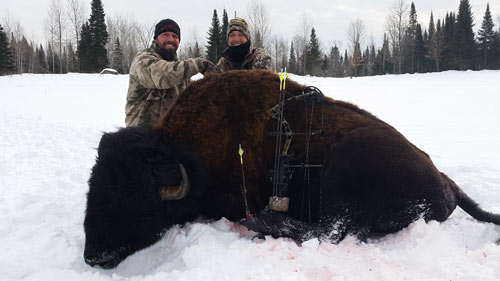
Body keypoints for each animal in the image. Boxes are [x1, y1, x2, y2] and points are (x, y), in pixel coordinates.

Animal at [84, 69, 500, 266]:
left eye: (137, 205)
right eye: (93, 191)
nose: (94, 257)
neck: (188, 152)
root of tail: (446, 184)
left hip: (348, 160)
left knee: (331, 230)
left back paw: (262, 222)